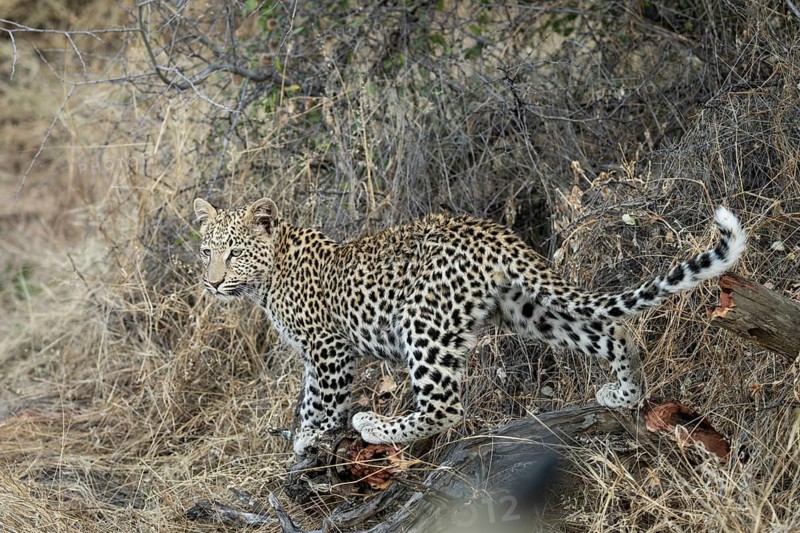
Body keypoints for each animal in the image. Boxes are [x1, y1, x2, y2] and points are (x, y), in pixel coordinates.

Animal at [193, 197, 746, 456]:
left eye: (234, 253)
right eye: (206, 250)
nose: (212, 282)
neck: (268, 278)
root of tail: (490, 232)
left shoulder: (329, 351)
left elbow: (320, 403)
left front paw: (308, 440)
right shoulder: (318, 355)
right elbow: (308, 398)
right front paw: (301, 443)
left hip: (422, 320)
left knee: (445, 405)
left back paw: (376, 426)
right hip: (529, 309)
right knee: (613, 332)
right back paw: (624, 394)